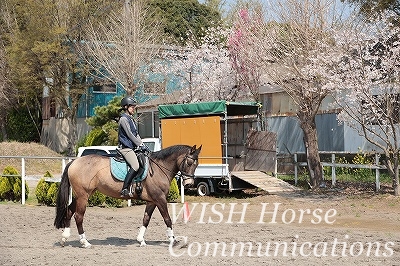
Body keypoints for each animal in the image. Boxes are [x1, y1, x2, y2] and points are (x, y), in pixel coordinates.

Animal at [54, 144, 202, 248]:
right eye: (189, 163)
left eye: (197, 164)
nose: (189, 184)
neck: (159, 168)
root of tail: (74, 162)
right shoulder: (160, 199)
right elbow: (167, 219)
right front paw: (173, 241)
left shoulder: (152, 201)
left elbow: (146, 219)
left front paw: (141, 240)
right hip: (83, 196)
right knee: (79, 217)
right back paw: (85, 242)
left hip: (81, 195)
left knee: (69, 210)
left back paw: (64, 238)